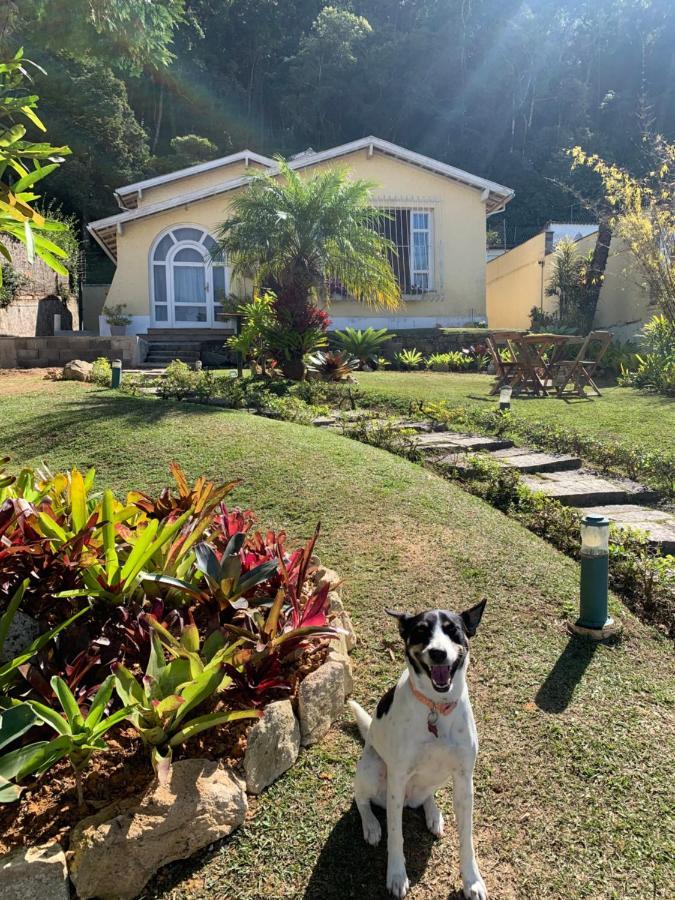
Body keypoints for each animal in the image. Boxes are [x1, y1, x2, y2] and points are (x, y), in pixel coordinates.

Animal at [352, 600, 488, 896]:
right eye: (421, 632)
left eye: (453, 630)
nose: (438, 653)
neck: (436, 705)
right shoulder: (397, 778)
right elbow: (396, 835)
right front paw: (396, 874)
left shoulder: (464, 780)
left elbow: (467, 839)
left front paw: (472, 881)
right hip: (373, 768)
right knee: (361, 799)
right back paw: (371, 825)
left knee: (426, 796)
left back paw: (433, 814)